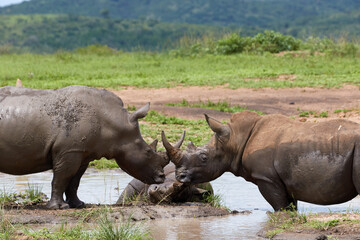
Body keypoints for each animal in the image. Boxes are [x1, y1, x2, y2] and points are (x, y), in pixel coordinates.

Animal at [0, 86, 168, 208]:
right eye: (148, 152)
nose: (162, 177)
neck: (114, 122)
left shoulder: (83, 152)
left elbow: (75, 180)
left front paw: (78, 204)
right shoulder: (69, 151)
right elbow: (61, 178)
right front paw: (59, 207)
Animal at [163, 111, 360, 211]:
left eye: (204, 157)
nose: (179, 177)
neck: (234, 139)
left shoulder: (266, 178)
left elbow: (280, 206)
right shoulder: (284, 181)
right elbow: (290, 207)